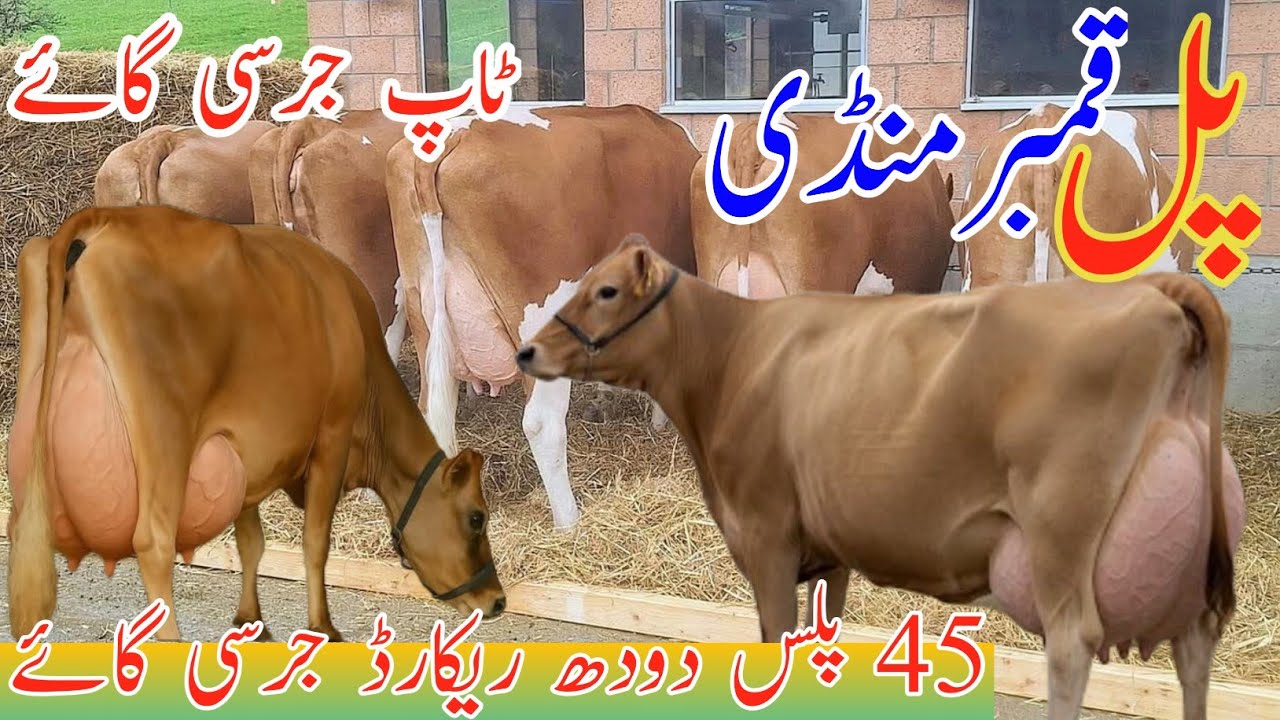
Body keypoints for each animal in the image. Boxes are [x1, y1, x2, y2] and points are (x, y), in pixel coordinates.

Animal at [7, 206, 506, 643]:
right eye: (476, 518)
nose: (497, 600)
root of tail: (102, 218)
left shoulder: (242, 451)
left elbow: (252, 542)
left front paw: (252, 623)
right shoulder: (332, 436)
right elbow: (315, 543)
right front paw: (323, 629)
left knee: (25, 529)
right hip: (166, 434)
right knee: (154, 541)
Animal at [386, 104, 700, 531]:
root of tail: (455, 133)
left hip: (422, 310)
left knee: (434, 416)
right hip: (539, 316)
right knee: (542, 422)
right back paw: (570, 522)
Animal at [516, 236, 1246, 720]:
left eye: (606, 291)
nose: (526, 351)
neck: (730, 359)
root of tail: (1152, 293)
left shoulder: (765, 533)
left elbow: (778, 636)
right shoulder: (827, 548)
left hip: (1062, 525)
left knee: (1073, 645)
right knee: (1195, 645)